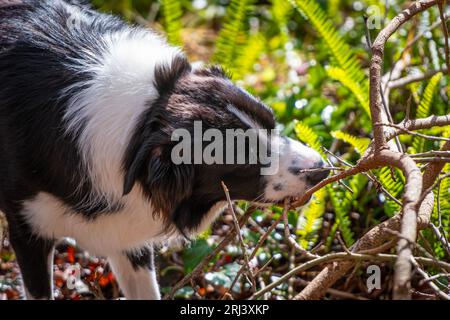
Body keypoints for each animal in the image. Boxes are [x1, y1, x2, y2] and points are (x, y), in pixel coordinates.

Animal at [0, 0, 328, 300]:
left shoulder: (123, 233)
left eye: (272, 123)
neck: (142, 122)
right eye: (243, 155)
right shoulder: (28, 232)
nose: (322, 168)